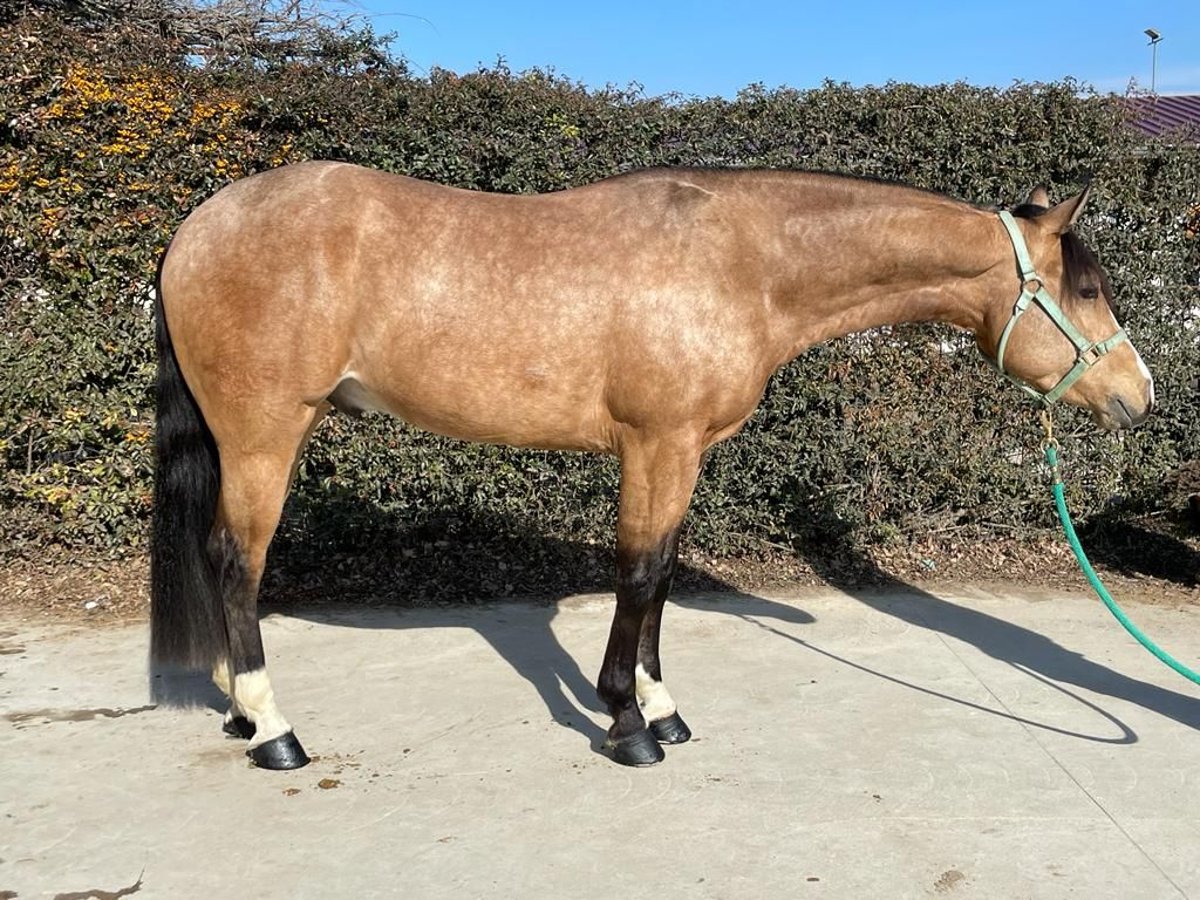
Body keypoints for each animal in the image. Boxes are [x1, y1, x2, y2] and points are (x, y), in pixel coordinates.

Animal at [147, 162, 1152, 768]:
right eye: (1087, 288)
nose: (1139, 397)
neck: (743, 264)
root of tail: (198, 226)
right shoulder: (654, 443)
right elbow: (638, 574)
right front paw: (629, 727)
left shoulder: (683, 453)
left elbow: (662, 576)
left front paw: (661, 708)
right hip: (265, 436)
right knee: (238, 561)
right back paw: (274, 731)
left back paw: (239, 712)